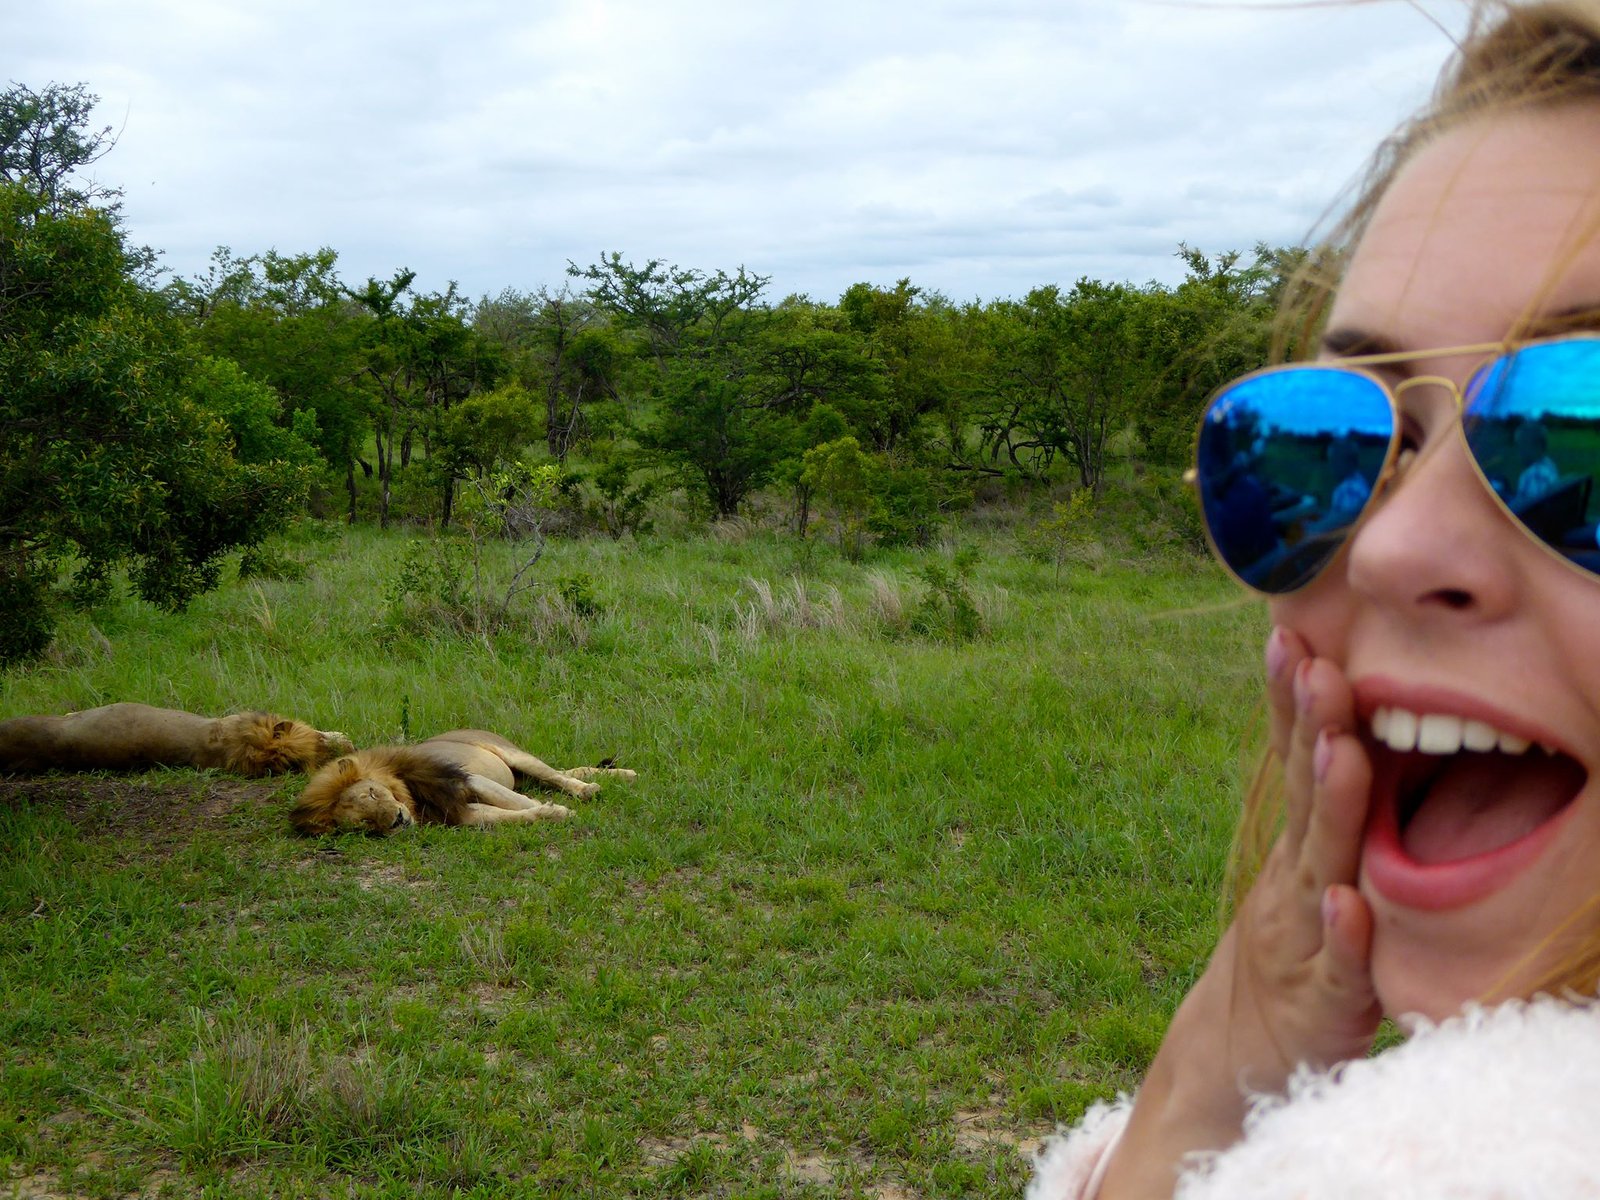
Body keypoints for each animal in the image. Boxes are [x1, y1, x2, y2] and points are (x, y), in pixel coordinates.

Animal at [288, 732, 636, 838]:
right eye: (363, 823)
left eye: (372, 792)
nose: (397, 820)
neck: (408, 797)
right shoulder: (460, 814)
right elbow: (511, 814)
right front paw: (547, 812)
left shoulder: (467, 780)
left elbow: (518, 802)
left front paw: (558, 811)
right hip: (519, 773)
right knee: (562, 772)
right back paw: (622, 775)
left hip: (514, 756)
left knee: (556, 775)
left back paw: (591, 789)